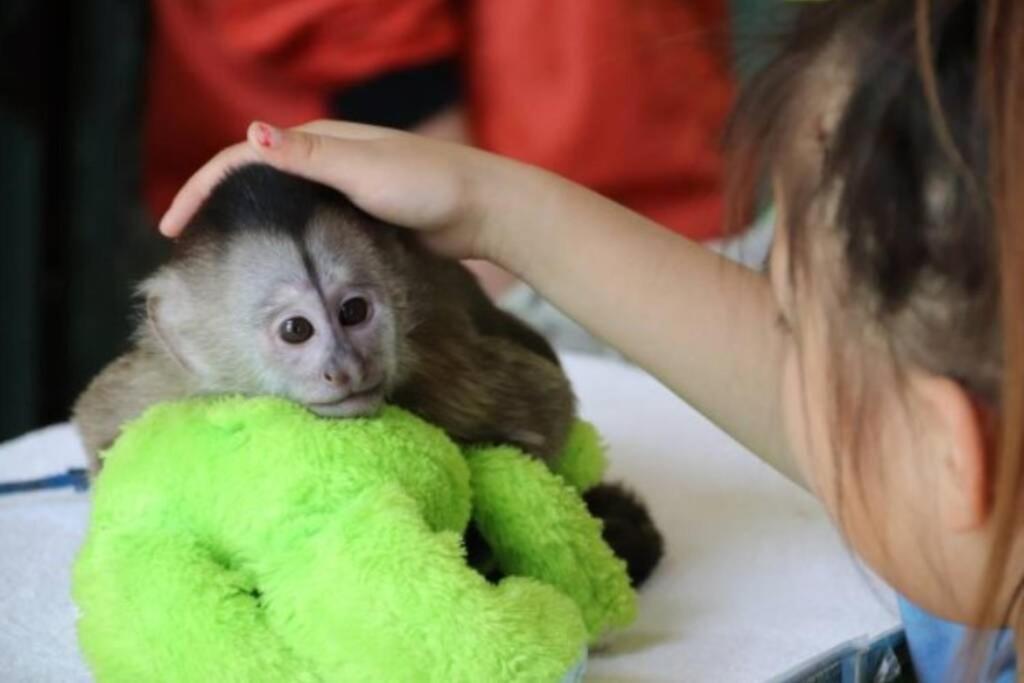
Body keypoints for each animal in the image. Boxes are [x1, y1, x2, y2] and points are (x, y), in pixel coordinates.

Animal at [72, 163, 663, 589]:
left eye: (353, 311)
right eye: (296, 330)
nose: (346, 368)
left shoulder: (439, 363)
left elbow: (543, 412)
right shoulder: (168, 383)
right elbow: (100, 425)